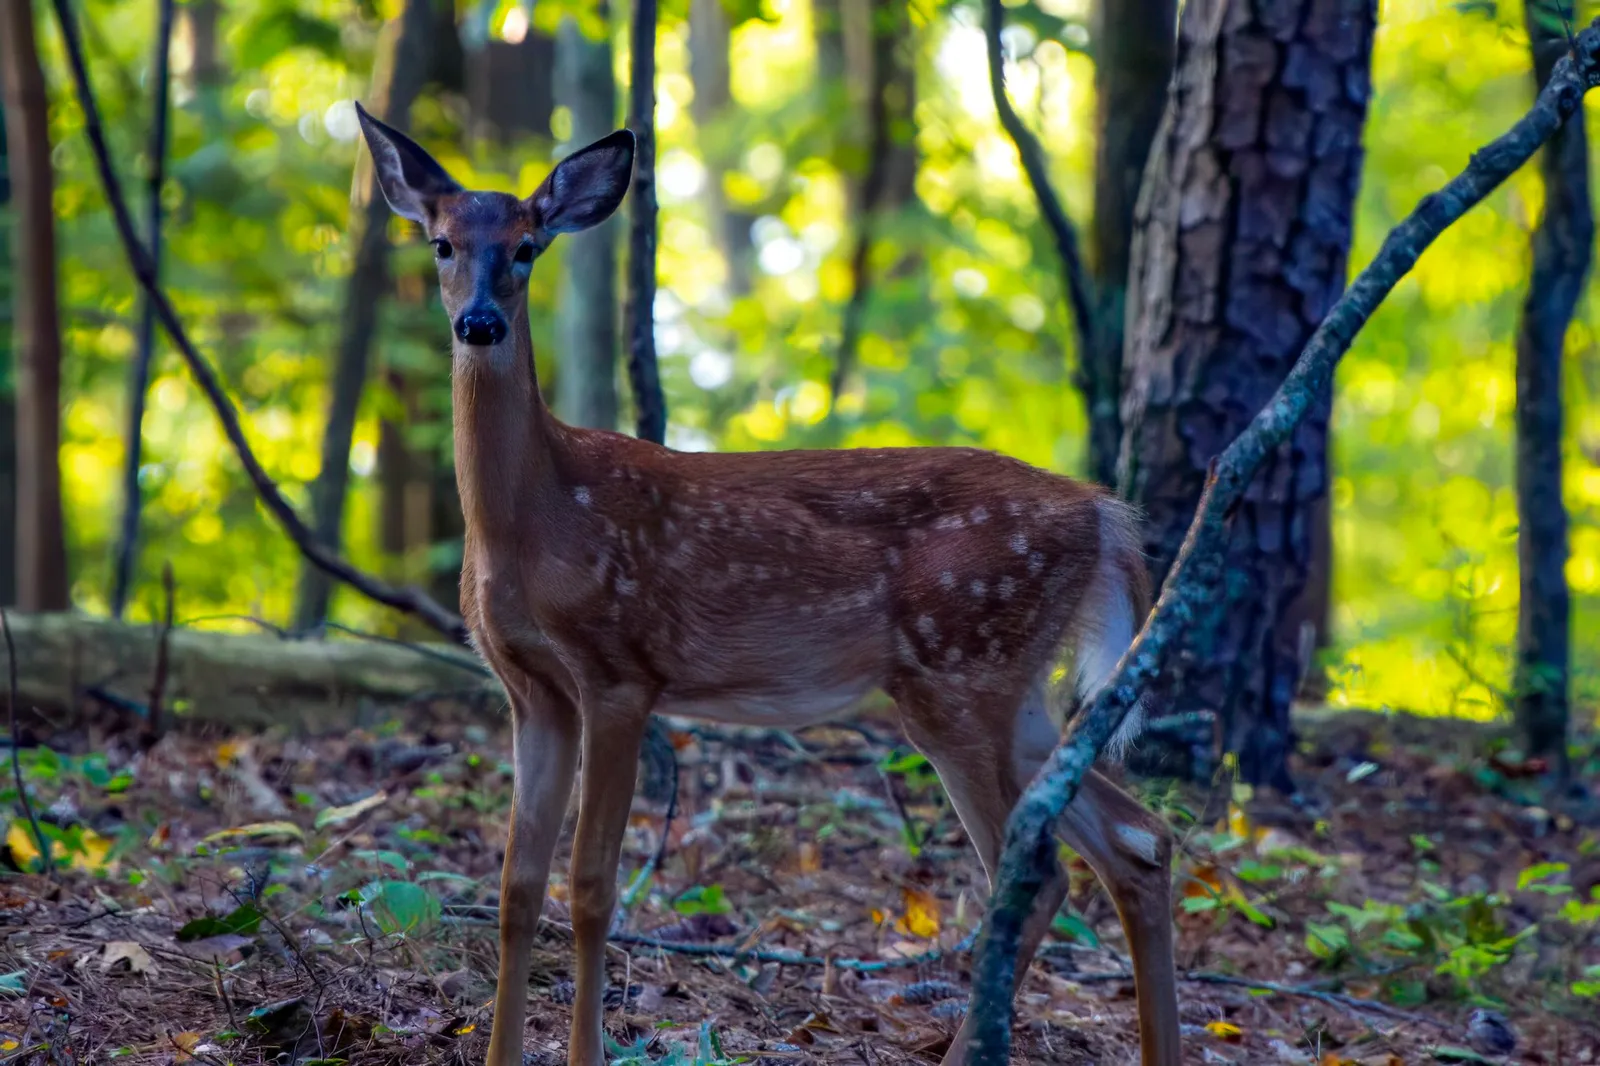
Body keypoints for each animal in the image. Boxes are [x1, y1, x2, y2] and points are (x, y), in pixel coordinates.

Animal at [354, 102, 1181, 1066]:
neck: (535, 522)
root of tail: (1103, 513)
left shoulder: (620, 671)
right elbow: (517, 887)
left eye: (526, 247)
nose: (480, 323)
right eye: (443, 243)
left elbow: (592, 886)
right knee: (1138, 839)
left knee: (1038, 870)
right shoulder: (533, 691)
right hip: (1007, 694)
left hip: (962, 672)